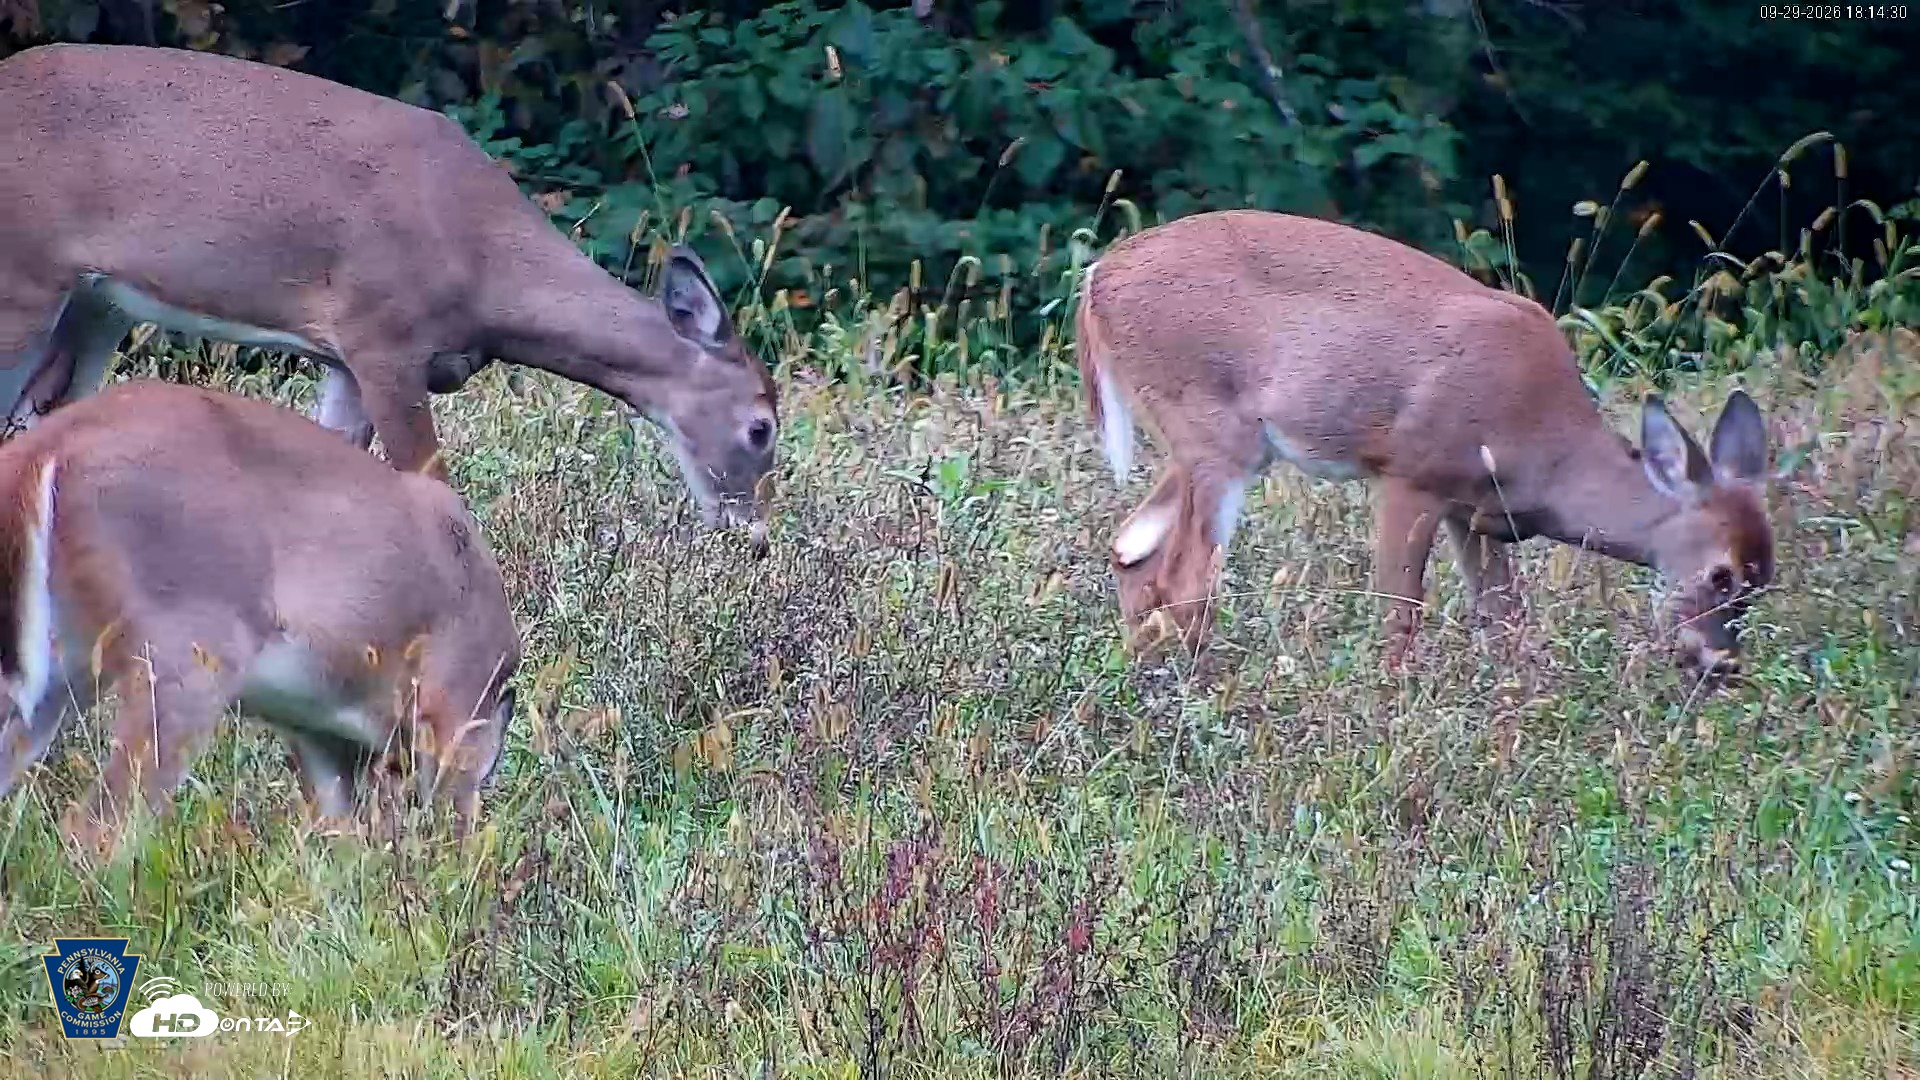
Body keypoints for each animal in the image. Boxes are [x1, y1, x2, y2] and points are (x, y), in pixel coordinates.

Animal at [0, 43, 777, 553]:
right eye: (762, 427)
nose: (757, 537)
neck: (483, 264)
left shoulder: (345, 363)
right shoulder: (383, 337)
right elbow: (436, 492)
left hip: (96, 306)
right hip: (25, 277)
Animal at [0, 379, 522, 858]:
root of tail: (52, 445)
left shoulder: (322, 736)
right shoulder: (451, 708)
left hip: (62, 662)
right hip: (190, 652)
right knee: (97, 826)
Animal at [1076, 209, 1775, 679]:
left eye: (1763, 580)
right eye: (1720, 574)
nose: (1721, 663)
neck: (1548, 450)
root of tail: (1097, 277)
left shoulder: (1478, 514)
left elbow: (1503, 622)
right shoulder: (1411, 472)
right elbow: (1399, 613)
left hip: (1210, 442)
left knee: (1132, 547)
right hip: (1213, 426)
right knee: (1186, 577)